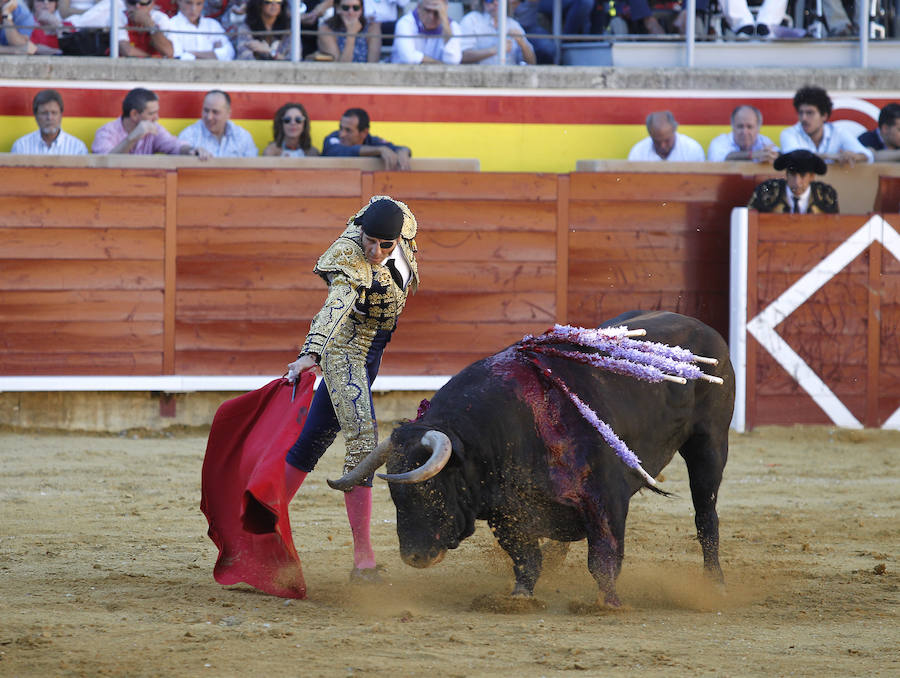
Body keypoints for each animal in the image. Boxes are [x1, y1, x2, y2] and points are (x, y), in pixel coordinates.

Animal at [326, 310, 736, 608]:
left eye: (431, 492)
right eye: (396, 497)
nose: (414, 557)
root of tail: (705, 330)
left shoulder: (606, 500)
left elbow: (603, 558)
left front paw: (609, 604)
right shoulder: (507, 511)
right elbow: (525, 558)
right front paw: (518, 598)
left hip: (710, 444)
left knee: (706, 513)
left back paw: (715, 583)